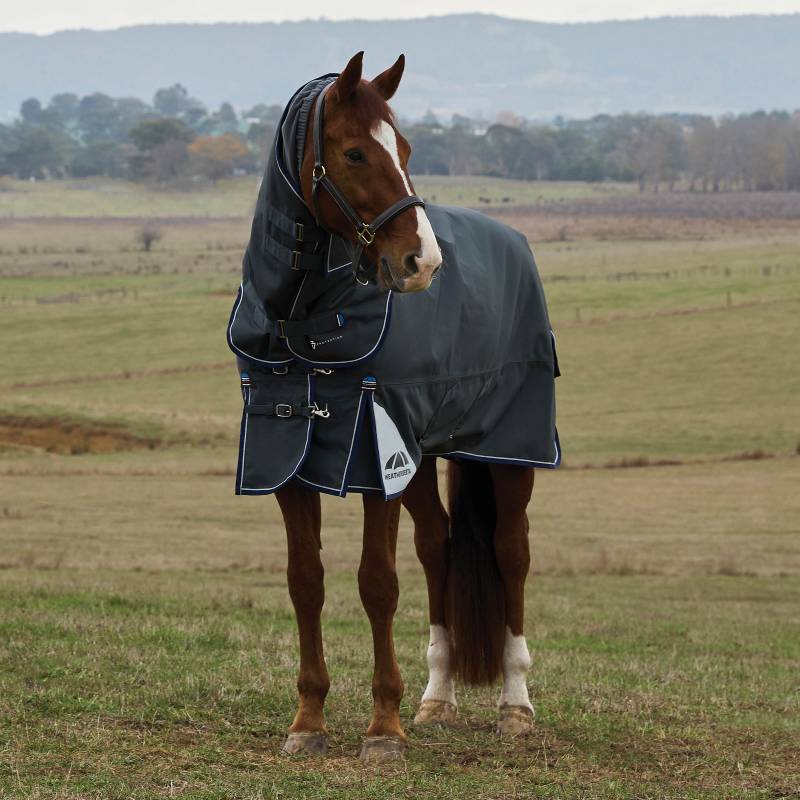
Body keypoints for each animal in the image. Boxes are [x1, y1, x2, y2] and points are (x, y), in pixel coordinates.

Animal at [228, 52, 560, 763]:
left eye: (404, 149)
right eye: (354, 152)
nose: (423, 261)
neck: (302, 319)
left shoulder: (374, 454)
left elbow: (377, 583)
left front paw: (383, 728)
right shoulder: (290, 458)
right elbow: (306, 581)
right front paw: (308, 721)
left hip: (509, 450)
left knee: (511, 551)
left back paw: (514, 705)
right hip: (425, 454)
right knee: (438, 547)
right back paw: (437, 697)